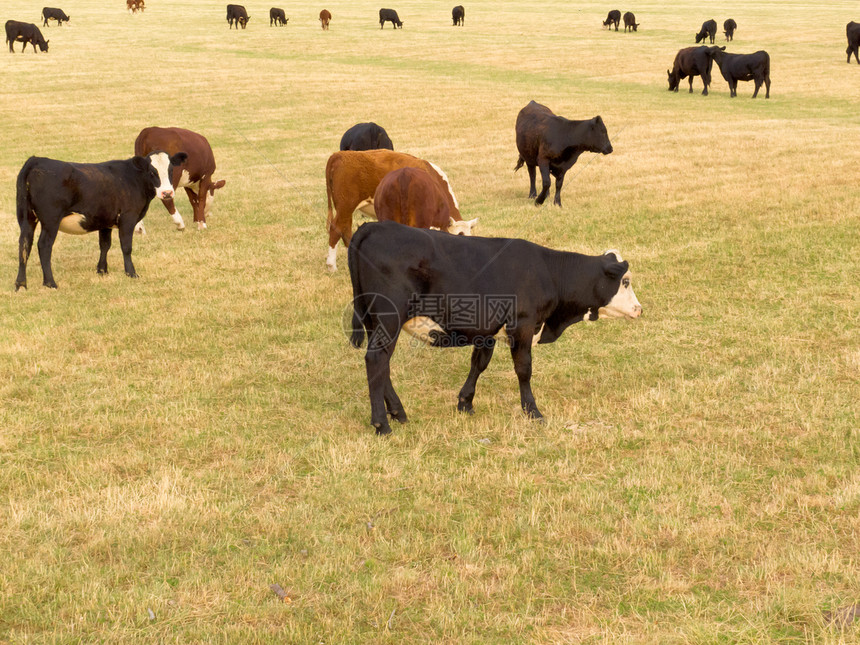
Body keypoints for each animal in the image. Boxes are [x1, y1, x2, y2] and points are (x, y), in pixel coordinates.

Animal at [13, 151, 188, 290]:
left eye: (171, 170)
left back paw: (21, 284)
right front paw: (131, 273)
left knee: (24, 244)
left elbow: (105, 245)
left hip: (27, 218)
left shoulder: (106, 220)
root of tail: (37, 160)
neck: (133, 179)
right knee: (44, 246)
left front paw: (102, 270)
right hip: (51, 221)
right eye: (152, 172)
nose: (167, 193)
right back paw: (50, 283)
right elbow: (126, 247)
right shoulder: (128, 218)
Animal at [326, 149, 464, 270]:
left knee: (345, 230)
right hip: (345, 207)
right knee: (336, 229)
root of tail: (338, 155)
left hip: (345, 210)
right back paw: (332, 266)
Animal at [346, 219, 640, 436]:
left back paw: (398, 412)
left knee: (381, 365)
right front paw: (533, 411)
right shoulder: (523, 325)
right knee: (376, 360)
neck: (549, 271)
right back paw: (382, 424)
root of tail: (373, 226)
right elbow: (524, 369)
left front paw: (465, 402)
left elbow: (479, 364)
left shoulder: (486, 331)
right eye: (625, 281)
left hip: (374, 322)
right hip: (389, 318)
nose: (639, 309)